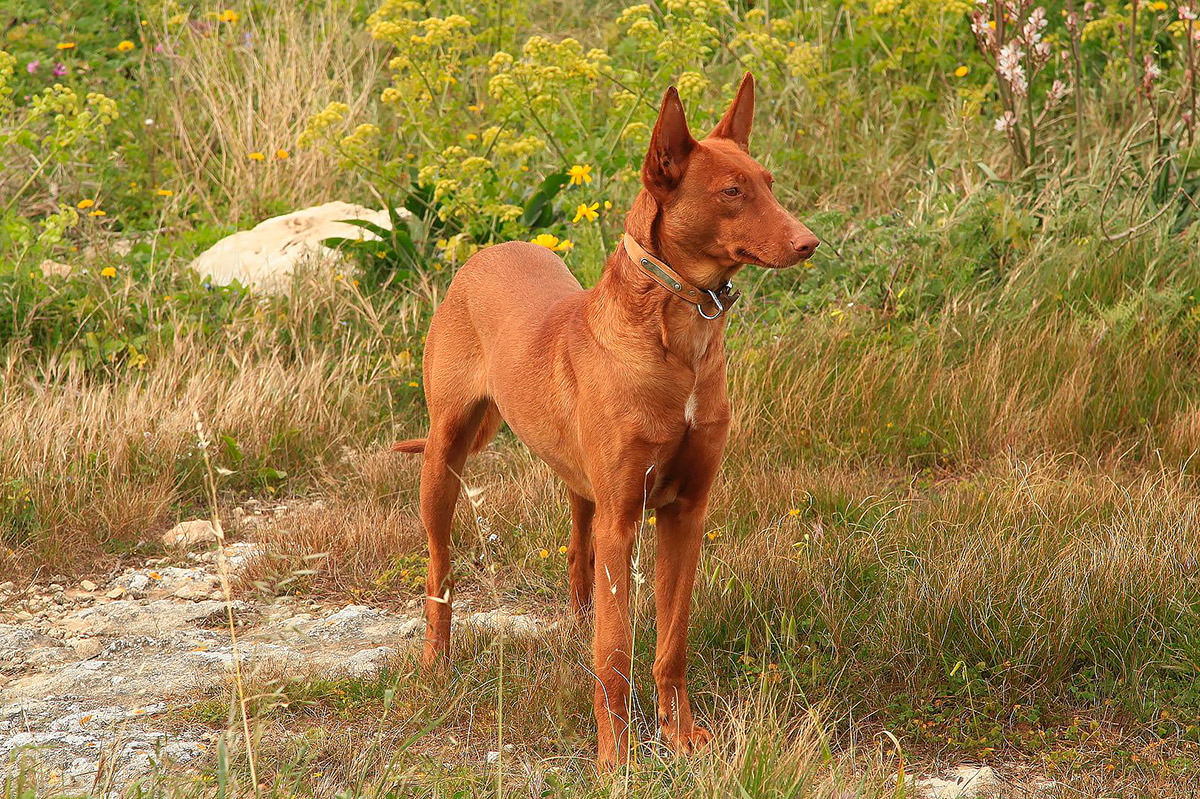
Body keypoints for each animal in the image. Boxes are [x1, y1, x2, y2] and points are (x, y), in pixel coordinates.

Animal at [391, 74, 816, 767]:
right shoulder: (624, 521)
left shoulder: (685, 513)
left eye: (769, 182)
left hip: (580, 486)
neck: (679, 338)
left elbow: (670, 642)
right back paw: (435, 662)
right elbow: (617, 651)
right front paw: (615, 757)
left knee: (576, 557)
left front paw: (680, 734)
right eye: (731, 192)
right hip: (443, 460)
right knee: (439, 570)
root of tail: (488, 250)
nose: (809, 242)